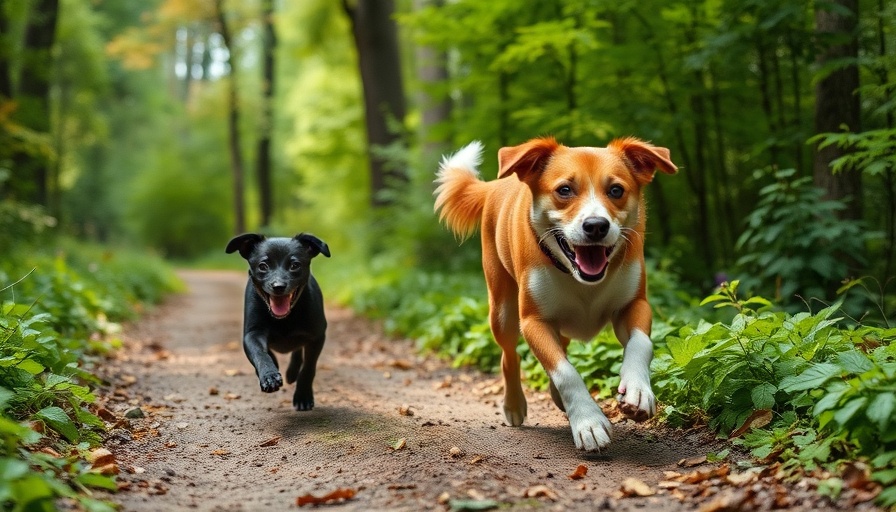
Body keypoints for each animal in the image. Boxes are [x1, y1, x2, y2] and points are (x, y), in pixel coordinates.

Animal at [226, 234, 330, 410]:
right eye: (263, 266)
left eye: (295, 265)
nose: (278, 286)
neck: (283, 318)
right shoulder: (252, 334)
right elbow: (260, 354)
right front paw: (269, 375)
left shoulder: (316, 336)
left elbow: (308, 368)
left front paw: (303, 396)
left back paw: (292, 373)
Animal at [436, 137, 680, 452]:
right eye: (564, 190)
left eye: (616, 190)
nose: (596, 225)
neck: (580, 278)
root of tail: (494, 185)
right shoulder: (534, 322)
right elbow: (565, 372)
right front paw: (588, 422)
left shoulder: (634, 305)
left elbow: (641, 343)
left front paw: (638, 391)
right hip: (502, 311)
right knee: (509, 356)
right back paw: (514, 404)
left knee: (559, 347)